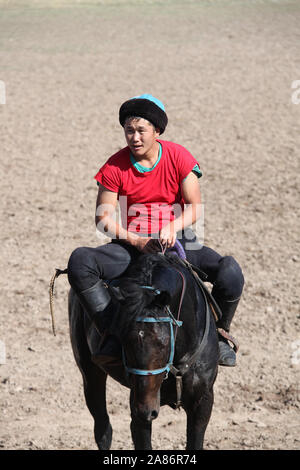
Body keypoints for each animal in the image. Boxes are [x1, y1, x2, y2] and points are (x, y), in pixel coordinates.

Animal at [67, 252, 218, 450]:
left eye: (163, 344)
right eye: (123, 341)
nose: (145, 411)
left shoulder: (202, 404)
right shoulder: (138, 406)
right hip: (90, 372)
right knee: (103, 428)